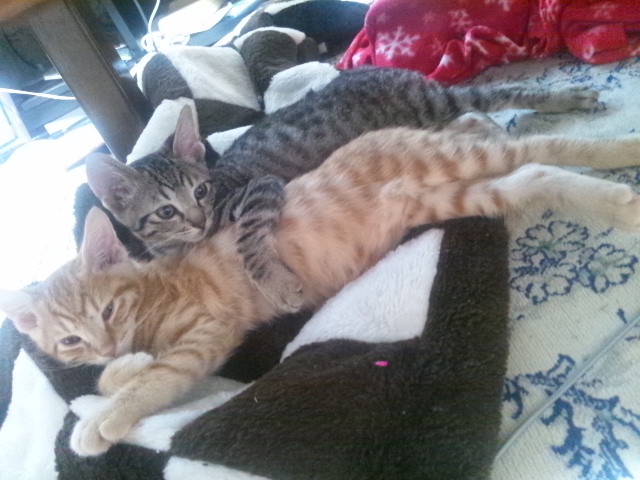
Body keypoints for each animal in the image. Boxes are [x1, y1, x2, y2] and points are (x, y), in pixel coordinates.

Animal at [4, 119, 639, 456]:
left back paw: (621, 155)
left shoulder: (207, 333)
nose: (104, 343)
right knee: (532, 172)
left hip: (452, 163)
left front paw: (103, 420)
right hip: (448, 196)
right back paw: (612, 195)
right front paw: (119, 370)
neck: (155, 293)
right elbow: (120, 373)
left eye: (109, 310)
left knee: (539, 145)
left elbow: (161, 376)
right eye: (70, 342)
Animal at [84, 66, 601, 312]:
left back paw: (566, 97)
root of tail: (369, 67)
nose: (198, 219)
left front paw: (277, 284)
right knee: (474, 119)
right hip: (428, 118)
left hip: (433, 101)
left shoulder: (261, 189)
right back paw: (495, 129)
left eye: (201, 192)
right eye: (165, 211)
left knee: (495, 95)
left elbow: (250, 239)